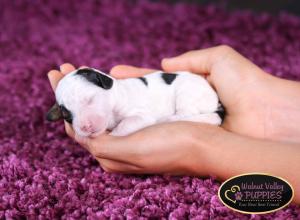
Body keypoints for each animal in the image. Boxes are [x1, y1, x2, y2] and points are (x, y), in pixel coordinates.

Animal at [47, 68, 224, 137]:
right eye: (66, 115)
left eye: (90, 99)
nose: (85, 127)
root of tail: (217, 101)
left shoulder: (141, 115)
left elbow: (129, 122)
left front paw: (116, 132)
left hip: (187, 94)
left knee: (186, 114)